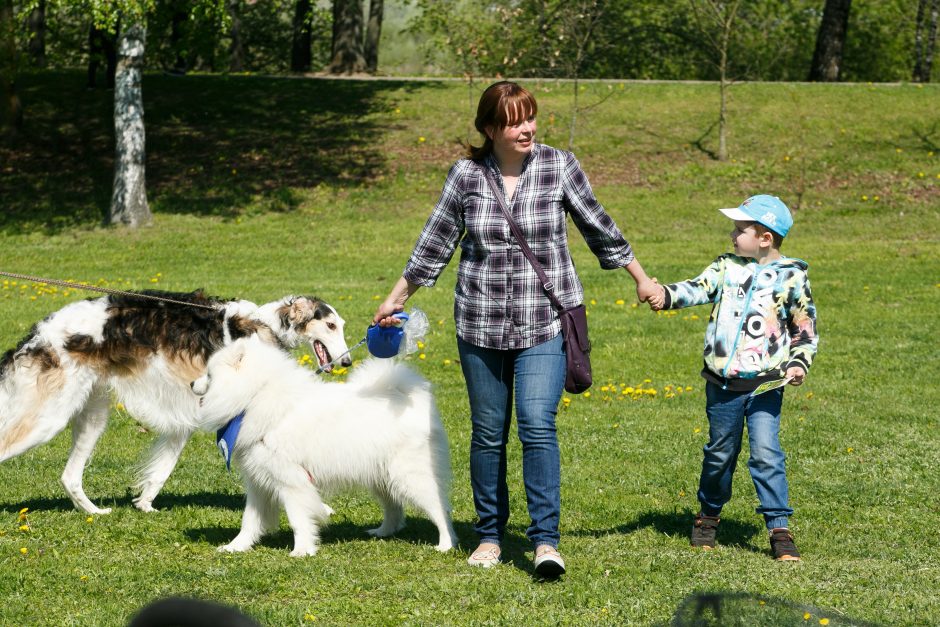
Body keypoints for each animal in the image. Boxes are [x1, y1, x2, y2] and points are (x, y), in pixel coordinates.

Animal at [0, 290, 350, 516]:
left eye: (341, 326)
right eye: (331, 325)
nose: (346, 362)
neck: (264, 326)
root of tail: (38, 334)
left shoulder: (189, 413)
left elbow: (162, 468)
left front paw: (144, 503)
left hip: (91, 415)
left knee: (69, 477)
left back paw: (95, 511)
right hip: (48, 419)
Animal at [191, 336, 456, 556]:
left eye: (209, 375)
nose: (193, 383)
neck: (254, 396)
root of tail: (412, 398)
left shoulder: (291, 481)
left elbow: (298, 519)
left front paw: (302, 551)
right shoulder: (259, 481)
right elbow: (249, 521)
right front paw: (235, 547)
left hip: (410, 476)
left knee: (439, 508)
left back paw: (446, 544)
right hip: (381, 476)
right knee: (394, 508)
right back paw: (382, 532)